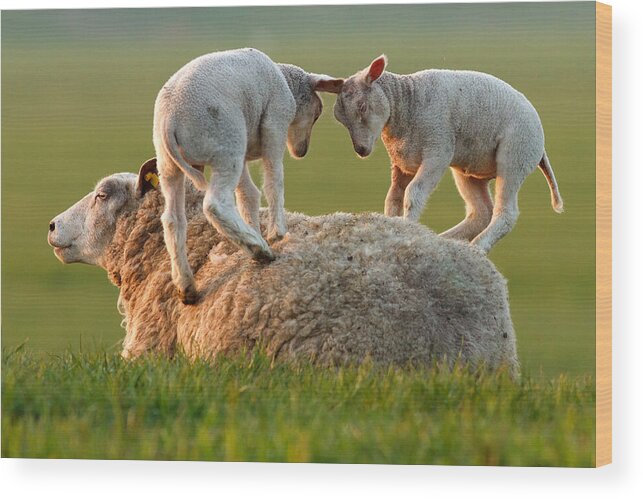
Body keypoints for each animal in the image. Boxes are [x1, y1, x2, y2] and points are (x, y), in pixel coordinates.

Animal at [328, 55, 564, 254]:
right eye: (339, 118)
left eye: (362, 106)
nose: (361, 150)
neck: (407, 104)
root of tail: (541, 144)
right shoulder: (400, 163)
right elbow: (393, 199)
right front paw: (394, 228)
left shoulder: (437, 152)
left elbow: (413, 194)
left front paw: (410, 228)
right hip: (470, 172)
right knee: (481, 213)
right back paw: (446, 240)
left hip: (516, 154)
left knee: (506, 213)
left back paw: (477, 247)